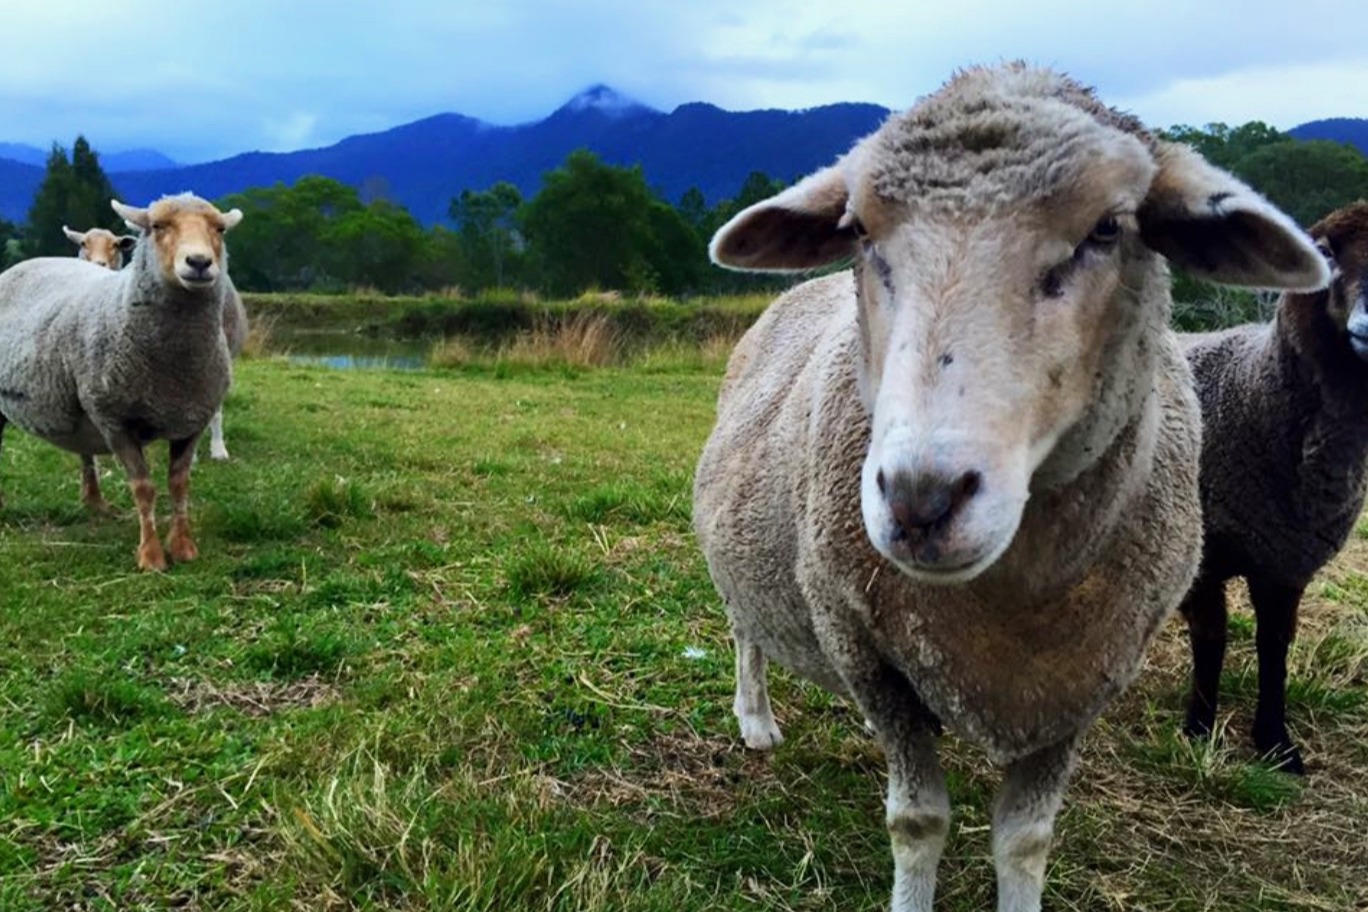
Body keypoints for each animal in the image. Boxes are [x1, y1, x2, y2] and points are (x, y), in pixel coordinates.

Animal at [0, 194, 243, 571]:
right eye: (156, 226)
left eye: (219, 229)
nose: (200, 262)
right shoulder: (115, 420)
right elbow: (143, 488)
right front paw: (151, 556)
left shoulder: (191, 419)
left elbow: (179, 484)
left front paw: (184, 547)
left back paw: (95, 502)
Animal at [689, 60, 1329, 907]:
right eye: (858, 232)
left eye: (1108, 229)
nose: (920, 500)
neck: (1017, 597)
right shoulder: (867, 651)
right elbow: (917, 822)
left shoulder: (1083, 681)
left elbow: (1025, 839)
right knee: (744, 627)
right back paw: (755, 718)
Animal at [1176, 200, 1368, 776]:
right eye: (1325, 250)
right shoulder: (1205, 557)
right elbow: (1212, 639)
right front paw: (1199, 728)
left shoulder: (1285, 564)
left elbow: (1274, 647)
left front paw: (1277, 743)